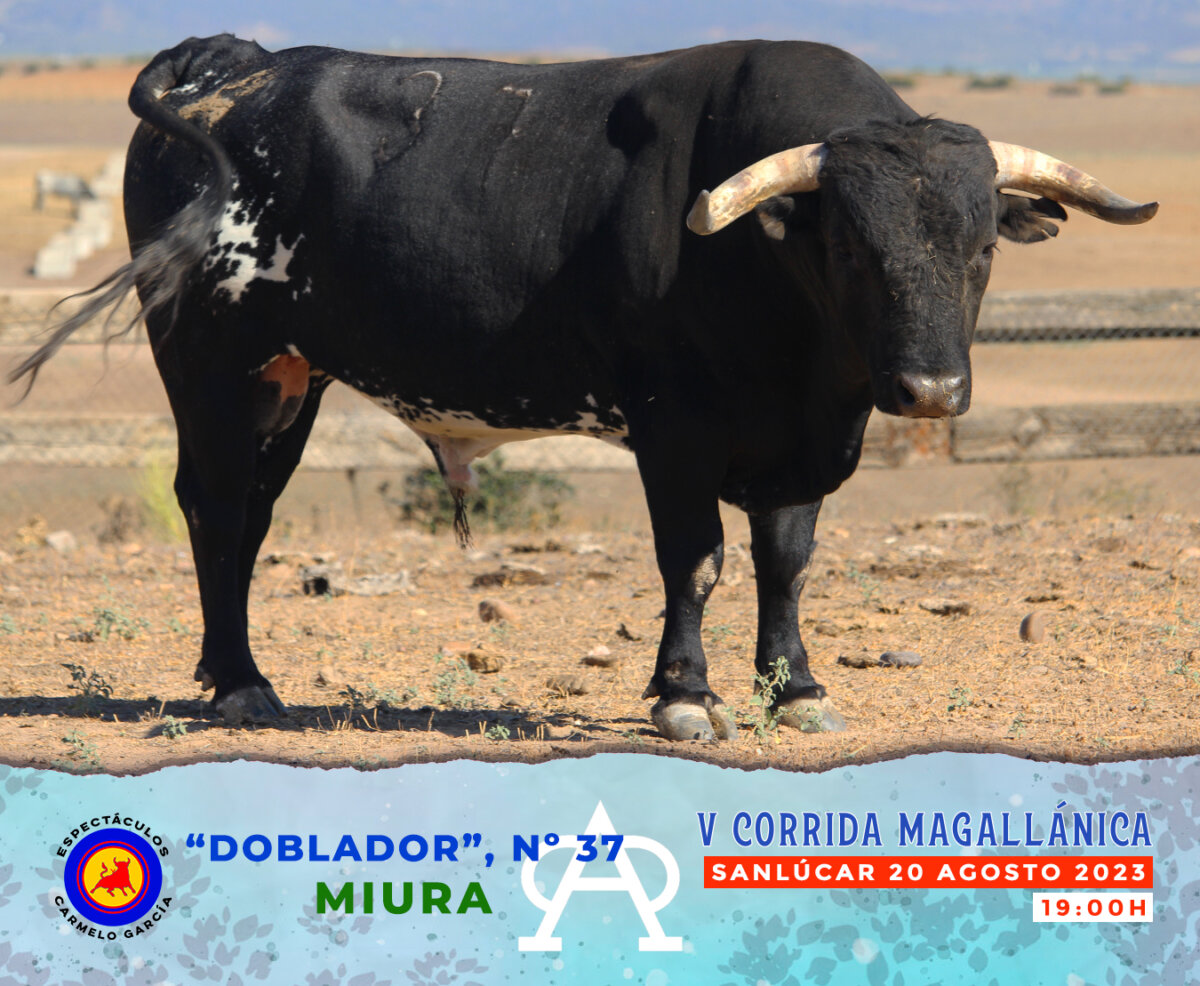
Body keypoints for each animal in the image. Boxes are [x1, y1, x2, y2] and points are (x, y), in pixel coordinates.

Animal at [8, 35, 1156, 739]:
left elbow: (786, 565)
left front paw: (797, 689)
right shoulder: (674, 428)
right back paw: (240, 682)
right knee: (212, 507)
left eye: (980, 247)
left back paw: (230, 672)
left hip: (291, 382)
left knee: (246, 515)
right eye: (852, 248)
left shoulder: (805, 440)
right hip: (210, 365)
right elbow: (697, 560)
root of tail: (233, 62)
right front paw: (686, 696)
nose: (928, 387)